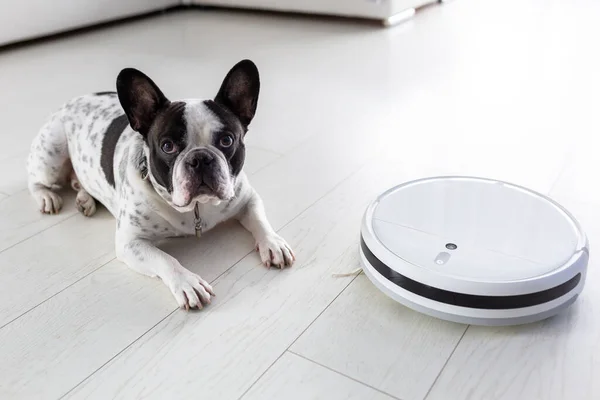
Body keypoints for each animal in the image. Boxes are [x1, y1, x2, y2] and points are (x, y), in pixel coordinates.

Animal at [28, 58, 296, 310]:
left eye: (227, 140)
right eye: (168, 146)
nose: (200, 158)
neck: (197, 208)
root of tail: (72, 101)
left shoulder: (247, 198)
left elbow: (259, 219)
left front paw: (273, 243)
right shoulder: (131, 242)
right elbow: (164, 259)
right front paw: (188, 283)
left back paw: (85, 199)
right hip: (51, 156)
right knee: (35, 179)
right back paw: (47, 197)